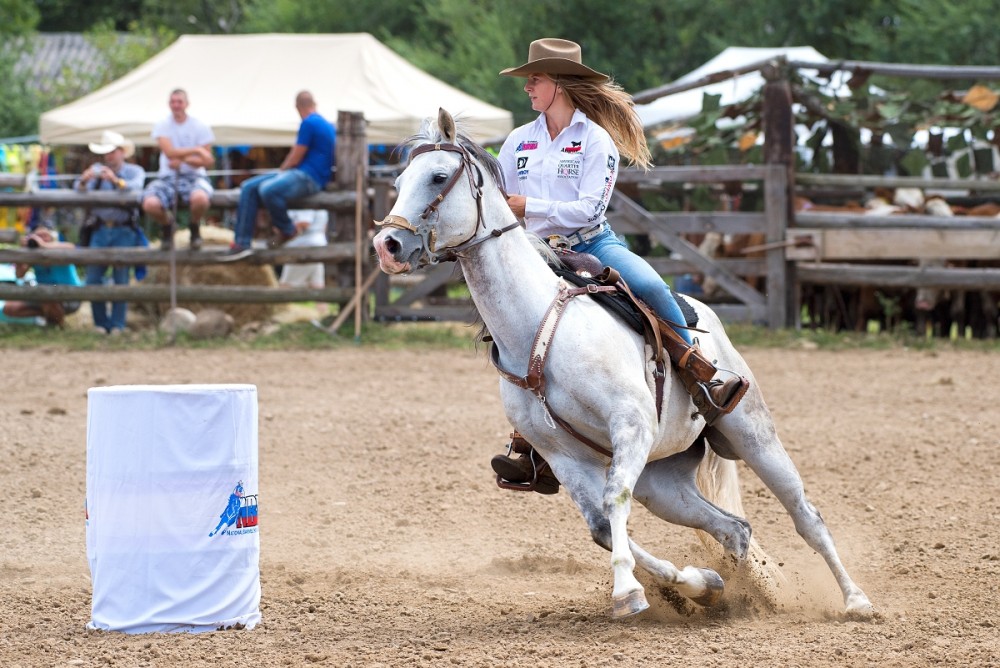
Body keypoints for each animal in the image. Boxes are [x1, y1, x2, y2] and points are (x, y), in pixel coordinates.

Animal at [372, 108, 872, 620]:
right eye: (399, 180)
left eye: (437, 177)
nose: (386, 244)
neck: (539, 329)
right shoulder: (563, 456)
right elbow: (602, 527)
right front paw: (689, 584)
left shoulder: (630, 426)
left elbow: (613, 503)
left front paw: (629, 590)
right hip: (662, 481)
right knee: (732, 528)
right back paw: (735, 592)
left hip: (753, 434)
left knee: (806, 516)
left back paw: (855, 600)